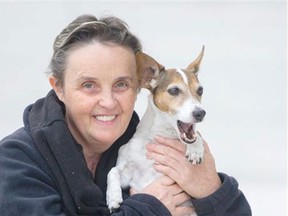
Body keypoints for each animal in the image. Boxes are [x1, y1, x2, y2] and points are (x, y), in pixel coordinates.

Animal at [107, 46, 206, 215]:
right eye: (174, 90)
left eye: (200, 90)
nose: (200, 113)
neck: (159, 135)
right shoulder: (128, 174)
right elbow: (112, 171)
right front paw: (113, 197)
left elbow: (197, 136)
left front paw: (195, 150)